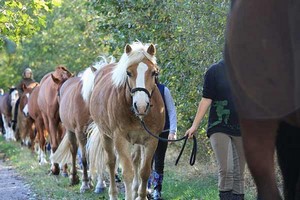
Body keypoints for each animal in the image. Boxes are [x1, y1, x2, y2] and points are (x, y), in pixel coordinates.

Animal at [51, 60, 108, 192]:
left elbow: (99, 155)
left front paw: (100, 184)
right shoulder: (80, 132)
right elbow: (84, 158)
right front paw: (85, 183)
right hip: (71, 131)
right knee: (73, 150)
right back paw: (74, 178)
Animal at [88, 41, 165, 199]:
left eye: (154, 72)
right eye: (128, 73)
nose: (141, 105)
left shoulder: (151, 140)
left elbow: (144, 172)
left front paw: (141, 195)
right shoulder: (120, 139)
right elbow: (127, 173)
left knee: (135, 160)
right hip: (106, 136)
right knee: (111, 163)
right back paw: (113, 193)